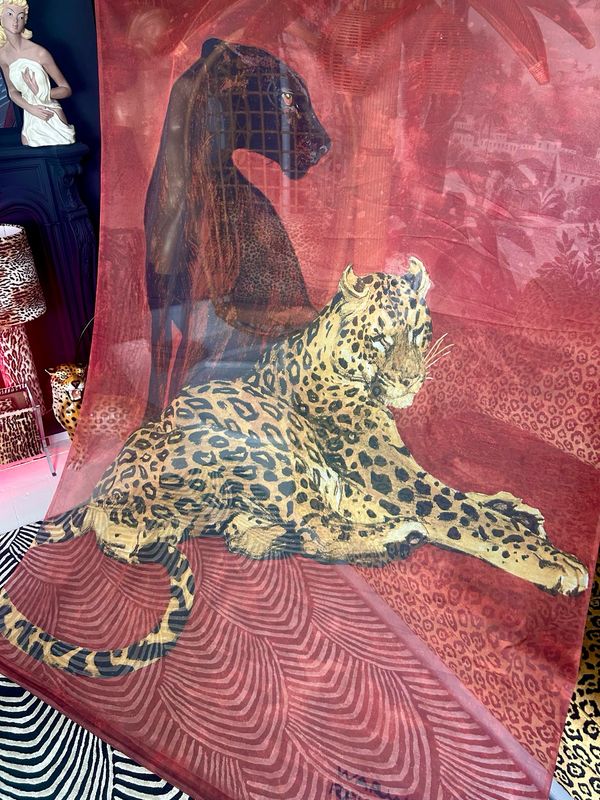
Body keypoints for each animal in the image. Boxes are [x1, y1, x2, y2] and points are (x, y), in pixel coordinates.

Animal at [0, 257, 588, 678]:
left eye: (418, 333)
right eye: (381, 337)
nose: (409, 381)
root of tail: (100, 499)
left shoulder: (383, 468)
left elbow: (456, 495)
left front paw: (516, 510)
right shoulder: (382, 466)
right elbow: (457, 513)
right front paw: (549, 561)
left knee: (288, 526)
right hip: (266, 456)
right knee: (323, 526)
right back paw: (397, 536)